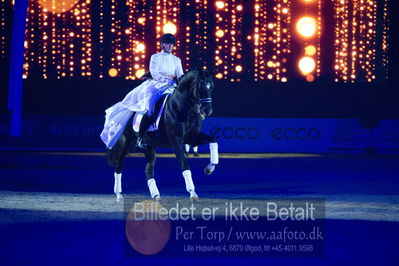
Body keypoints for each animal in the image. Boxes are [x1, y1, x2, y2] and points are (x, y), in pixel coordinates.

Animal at [106, 68, 219, 202]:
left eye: (212, 86)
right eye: (200, 86)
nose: (207, 110)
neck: (183, 109)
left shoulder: (192, 138)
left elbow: (213, 140)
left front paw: (210, 168)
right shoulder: (176, 141)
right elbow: (185, 165)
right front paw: (192, 193)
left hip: (149, 147)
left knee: (148, 170)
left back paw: (156, 195)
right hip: (125, 143)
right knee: (118, 166)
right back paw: (119, 195)